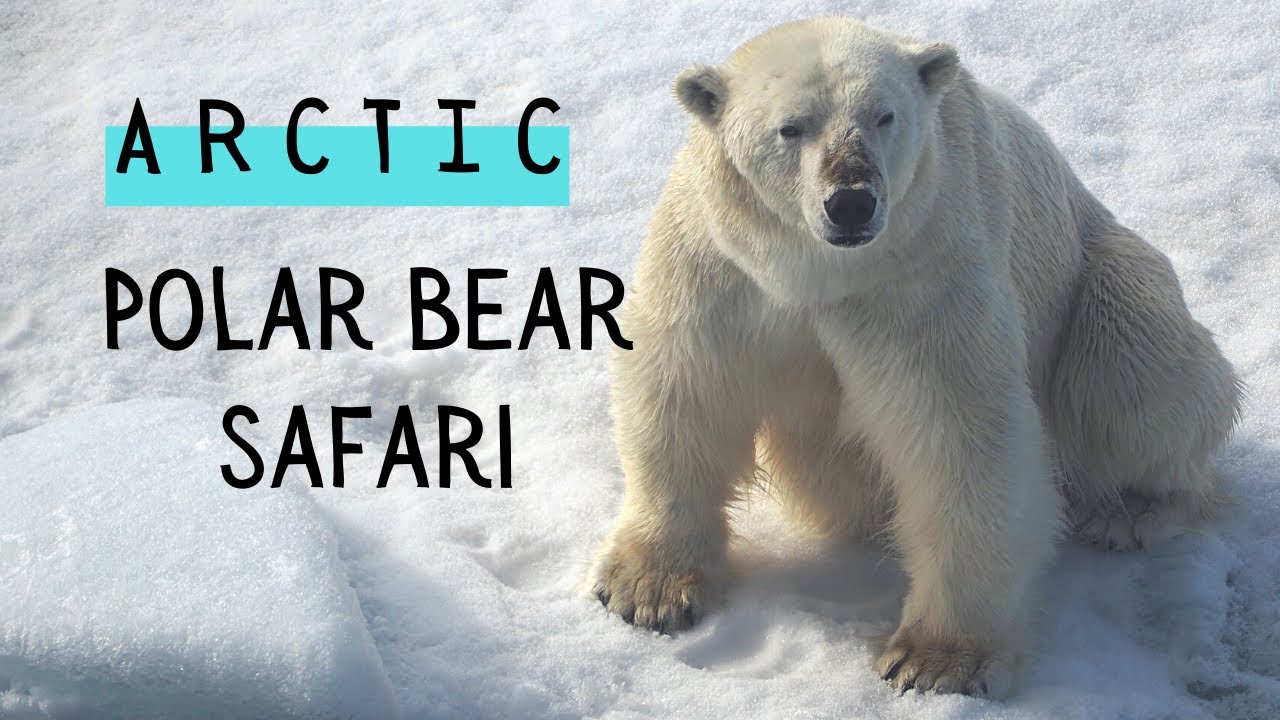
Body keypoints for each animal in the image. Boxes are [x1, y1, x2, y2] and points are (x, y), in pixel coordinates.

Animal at [589, 17, 1242, 698]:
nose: (851, 201)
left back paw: (1126, 510)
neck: (817, 273)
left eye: (884, 115)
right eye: (791, 126)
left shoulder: (922, 273)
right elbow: (689, 389)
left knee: (1135, 378)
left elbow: (956, 432)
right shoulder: (719, 266)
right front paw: (649, 590)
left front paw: (937, 659)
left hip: (1102, 281)